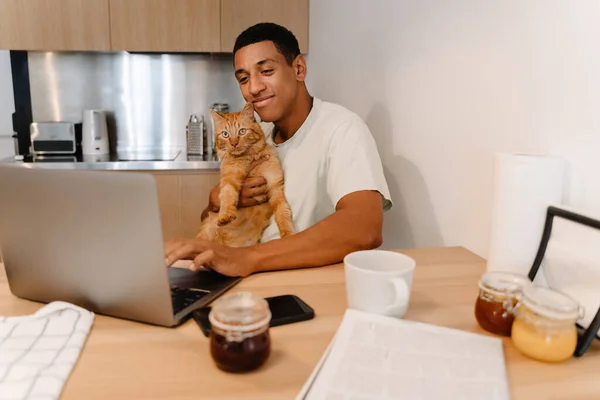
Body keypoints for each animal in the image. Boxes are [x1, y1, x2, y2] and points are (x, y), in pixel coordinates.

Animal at [198, 102, 294, 247]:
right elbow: (227, 196)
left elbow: (283, 212)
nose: (234, 143)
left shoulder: (275, 187)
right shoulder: (229, 179)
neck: (249, 158)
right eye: (225, 134)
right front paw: (225, 215)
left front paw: (288, 234)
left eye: (242, 131)